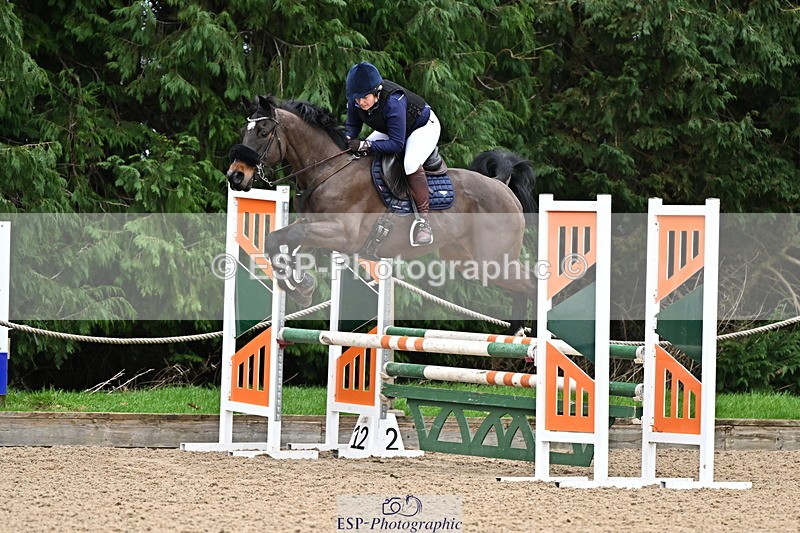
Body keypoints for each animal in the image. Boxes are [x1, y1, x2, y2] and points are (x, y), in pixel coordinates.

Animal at [226, 95, 537, 332]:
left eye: (263, 132)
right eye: (243, 132)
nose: (235, 176)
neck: (329, 170)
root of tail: (501, 184)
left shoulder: (342, 235)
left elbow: (292, 238)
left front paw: (301, 286)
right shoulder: (316, 228)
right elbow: (277, 240)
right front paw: (301, 288)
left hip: (492, 258)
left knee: (532, 283)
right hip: (467, 260)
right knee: (521, 286)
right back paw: (515, 335)